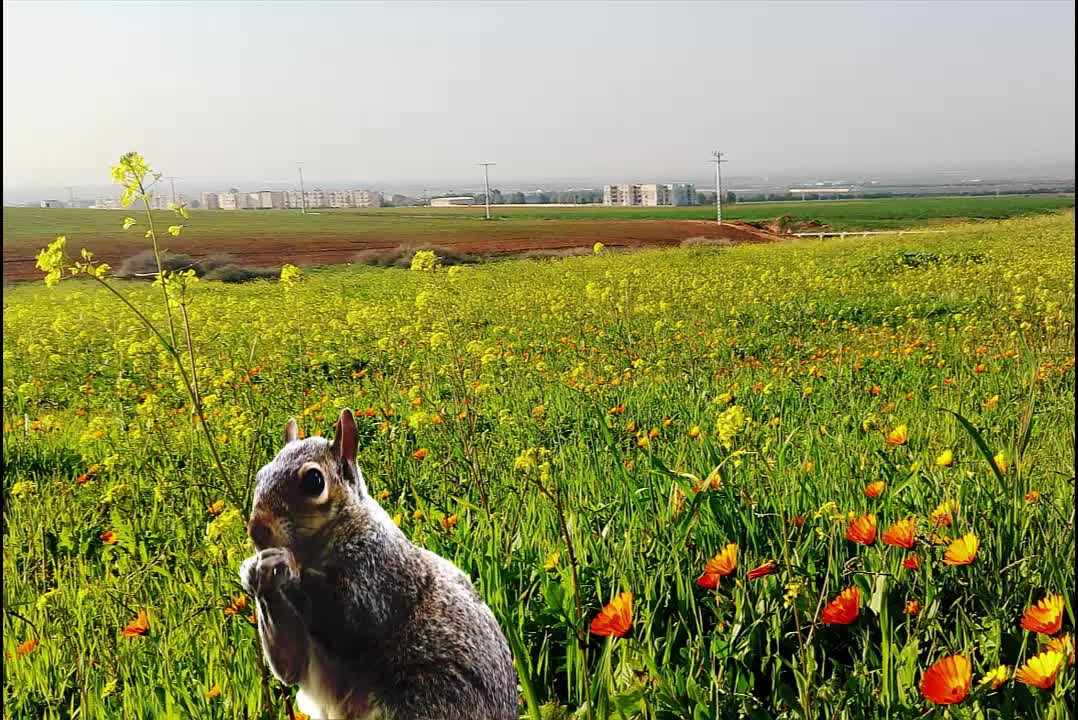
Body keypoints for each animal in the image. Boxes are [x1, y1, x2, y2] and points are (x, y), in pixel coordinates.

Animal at [241, 407, 517, 715]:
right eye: (260, 475)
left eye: (314, 481)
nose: (257, 531)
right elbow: (290, 666)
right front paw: (255, 573)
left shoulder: (380, 574)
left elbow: (350, 620)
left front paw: (285, 566)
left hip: (429, 698)